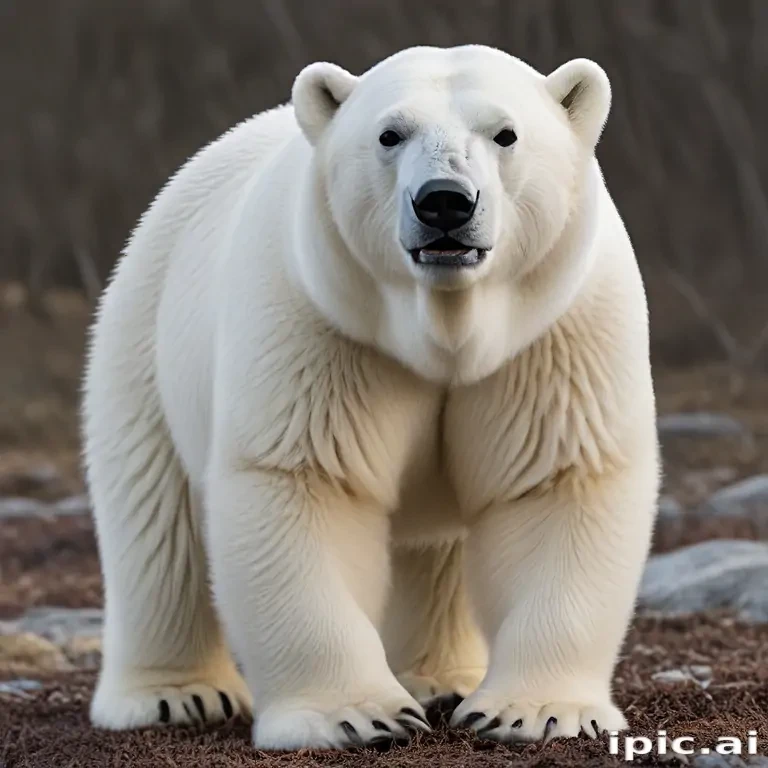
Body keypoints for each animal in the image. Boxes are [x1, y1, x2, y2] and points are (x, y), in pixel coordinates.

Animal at [83, 44, 659, 751]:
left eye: (506, 133)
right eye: (390, 134)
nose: (445, 202)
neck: (442, 328)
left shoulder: (554, 332)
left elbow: (557, 481)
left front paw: (536, 712)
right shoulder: (320, 323)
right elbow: (307, 482)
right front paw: (357, 715)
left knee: (433, 550)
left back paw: (441, 679)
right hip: (144, 328)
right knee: (153, 515)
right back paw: (173, 695)